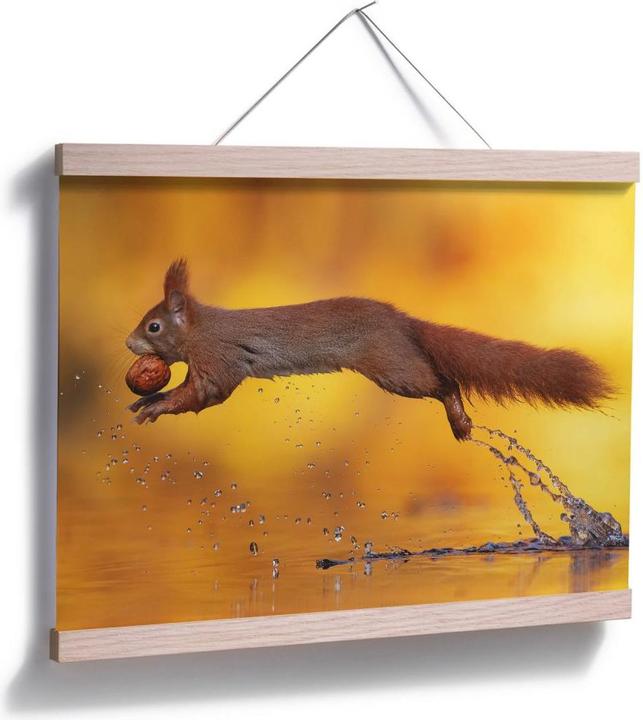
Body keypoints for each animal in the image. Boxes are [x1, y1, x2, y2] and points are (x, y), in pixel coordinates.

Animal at [126, 259, 612, 440]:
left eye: (153, 326)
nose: (129, 342)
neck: (200, 329)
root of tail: (403, 322)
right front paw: (148, 399)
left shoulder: (218, 359)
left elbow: (204, 394)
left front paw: (157, 405)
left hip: (393, 367)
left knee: (444, 382)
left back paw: (459, 419)